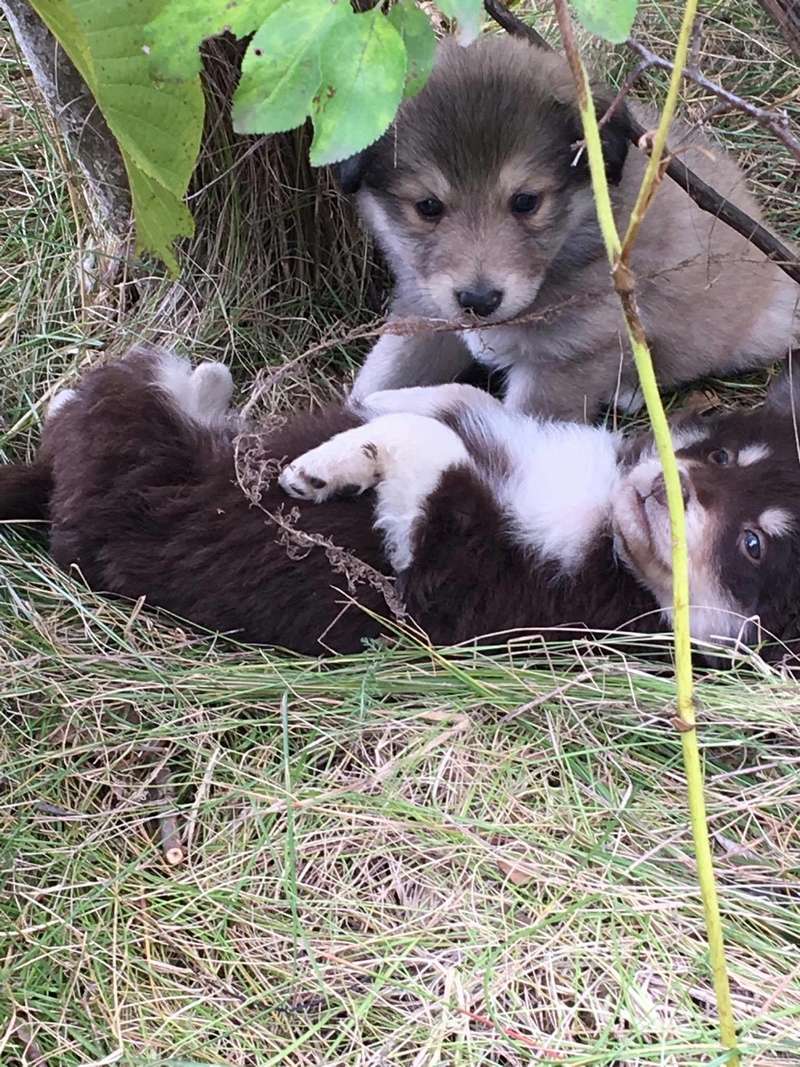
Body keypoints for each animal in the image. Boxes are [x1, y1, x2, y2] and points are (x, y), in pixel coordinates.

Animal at [4, 345, 800, 657]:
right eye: (725, 456)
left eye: (753, 546)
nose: (674, 483)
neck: (605, 529)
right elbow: (455, 401)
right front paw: (377, 403)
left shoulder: (458, 569)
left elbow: (433, 446)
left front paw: (322, 470)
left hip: (129, 445)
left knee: (104, 407)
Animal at [341, 33, 797, 418]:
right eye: (428, 206)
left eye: (527, 201)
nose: (479, 300)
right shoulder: (425, 315)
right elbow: (376, 378)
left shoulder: (566, 360)